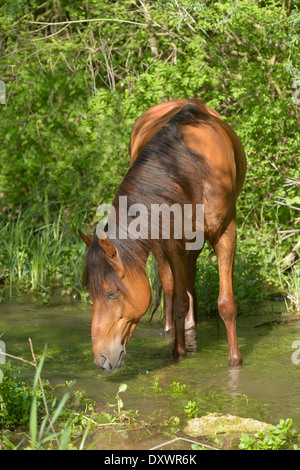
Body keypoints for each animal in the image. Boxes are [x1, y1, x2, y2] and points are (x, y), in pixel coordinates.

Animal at [79, 98, 246, 370]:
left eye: (111, 293)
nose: (101, 359)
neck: (191, 169)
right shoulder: (171, 241)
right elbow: (177, 299)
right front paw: (178, 351)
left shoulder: (225, 233)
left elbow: (226, 303)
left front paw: (234, 360)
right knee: (169, 282)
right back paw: (171, 329)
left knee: (189, 275)